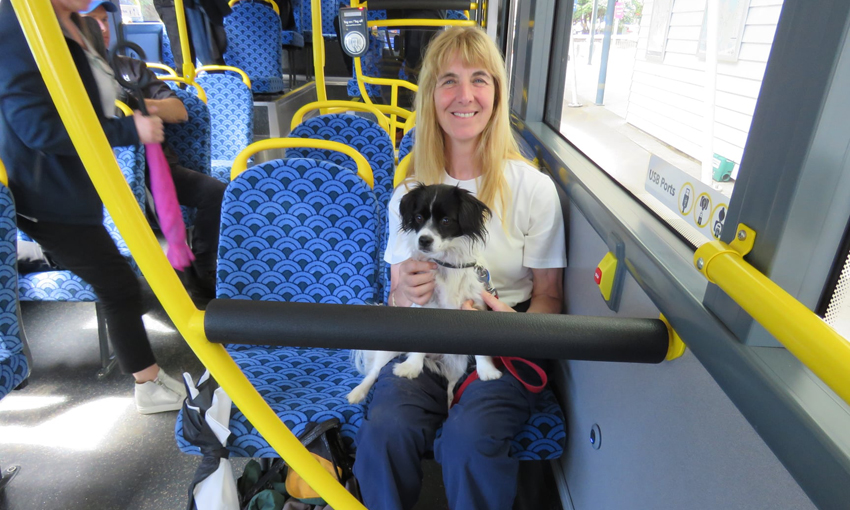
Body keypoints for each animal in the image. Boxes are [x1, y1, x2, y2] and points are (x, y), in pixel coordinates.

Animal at [346, 183, 500, 406]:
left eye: (446, 221)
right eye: (418, 217)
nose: (424, 240)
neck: (446, 264)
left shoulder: (476, 305)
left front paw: (487, 370)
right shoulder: (424, 304)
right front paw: (410, 367)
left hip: (458, 364)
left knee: (451, 387)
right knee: (374, 371)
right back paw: (358, 392)